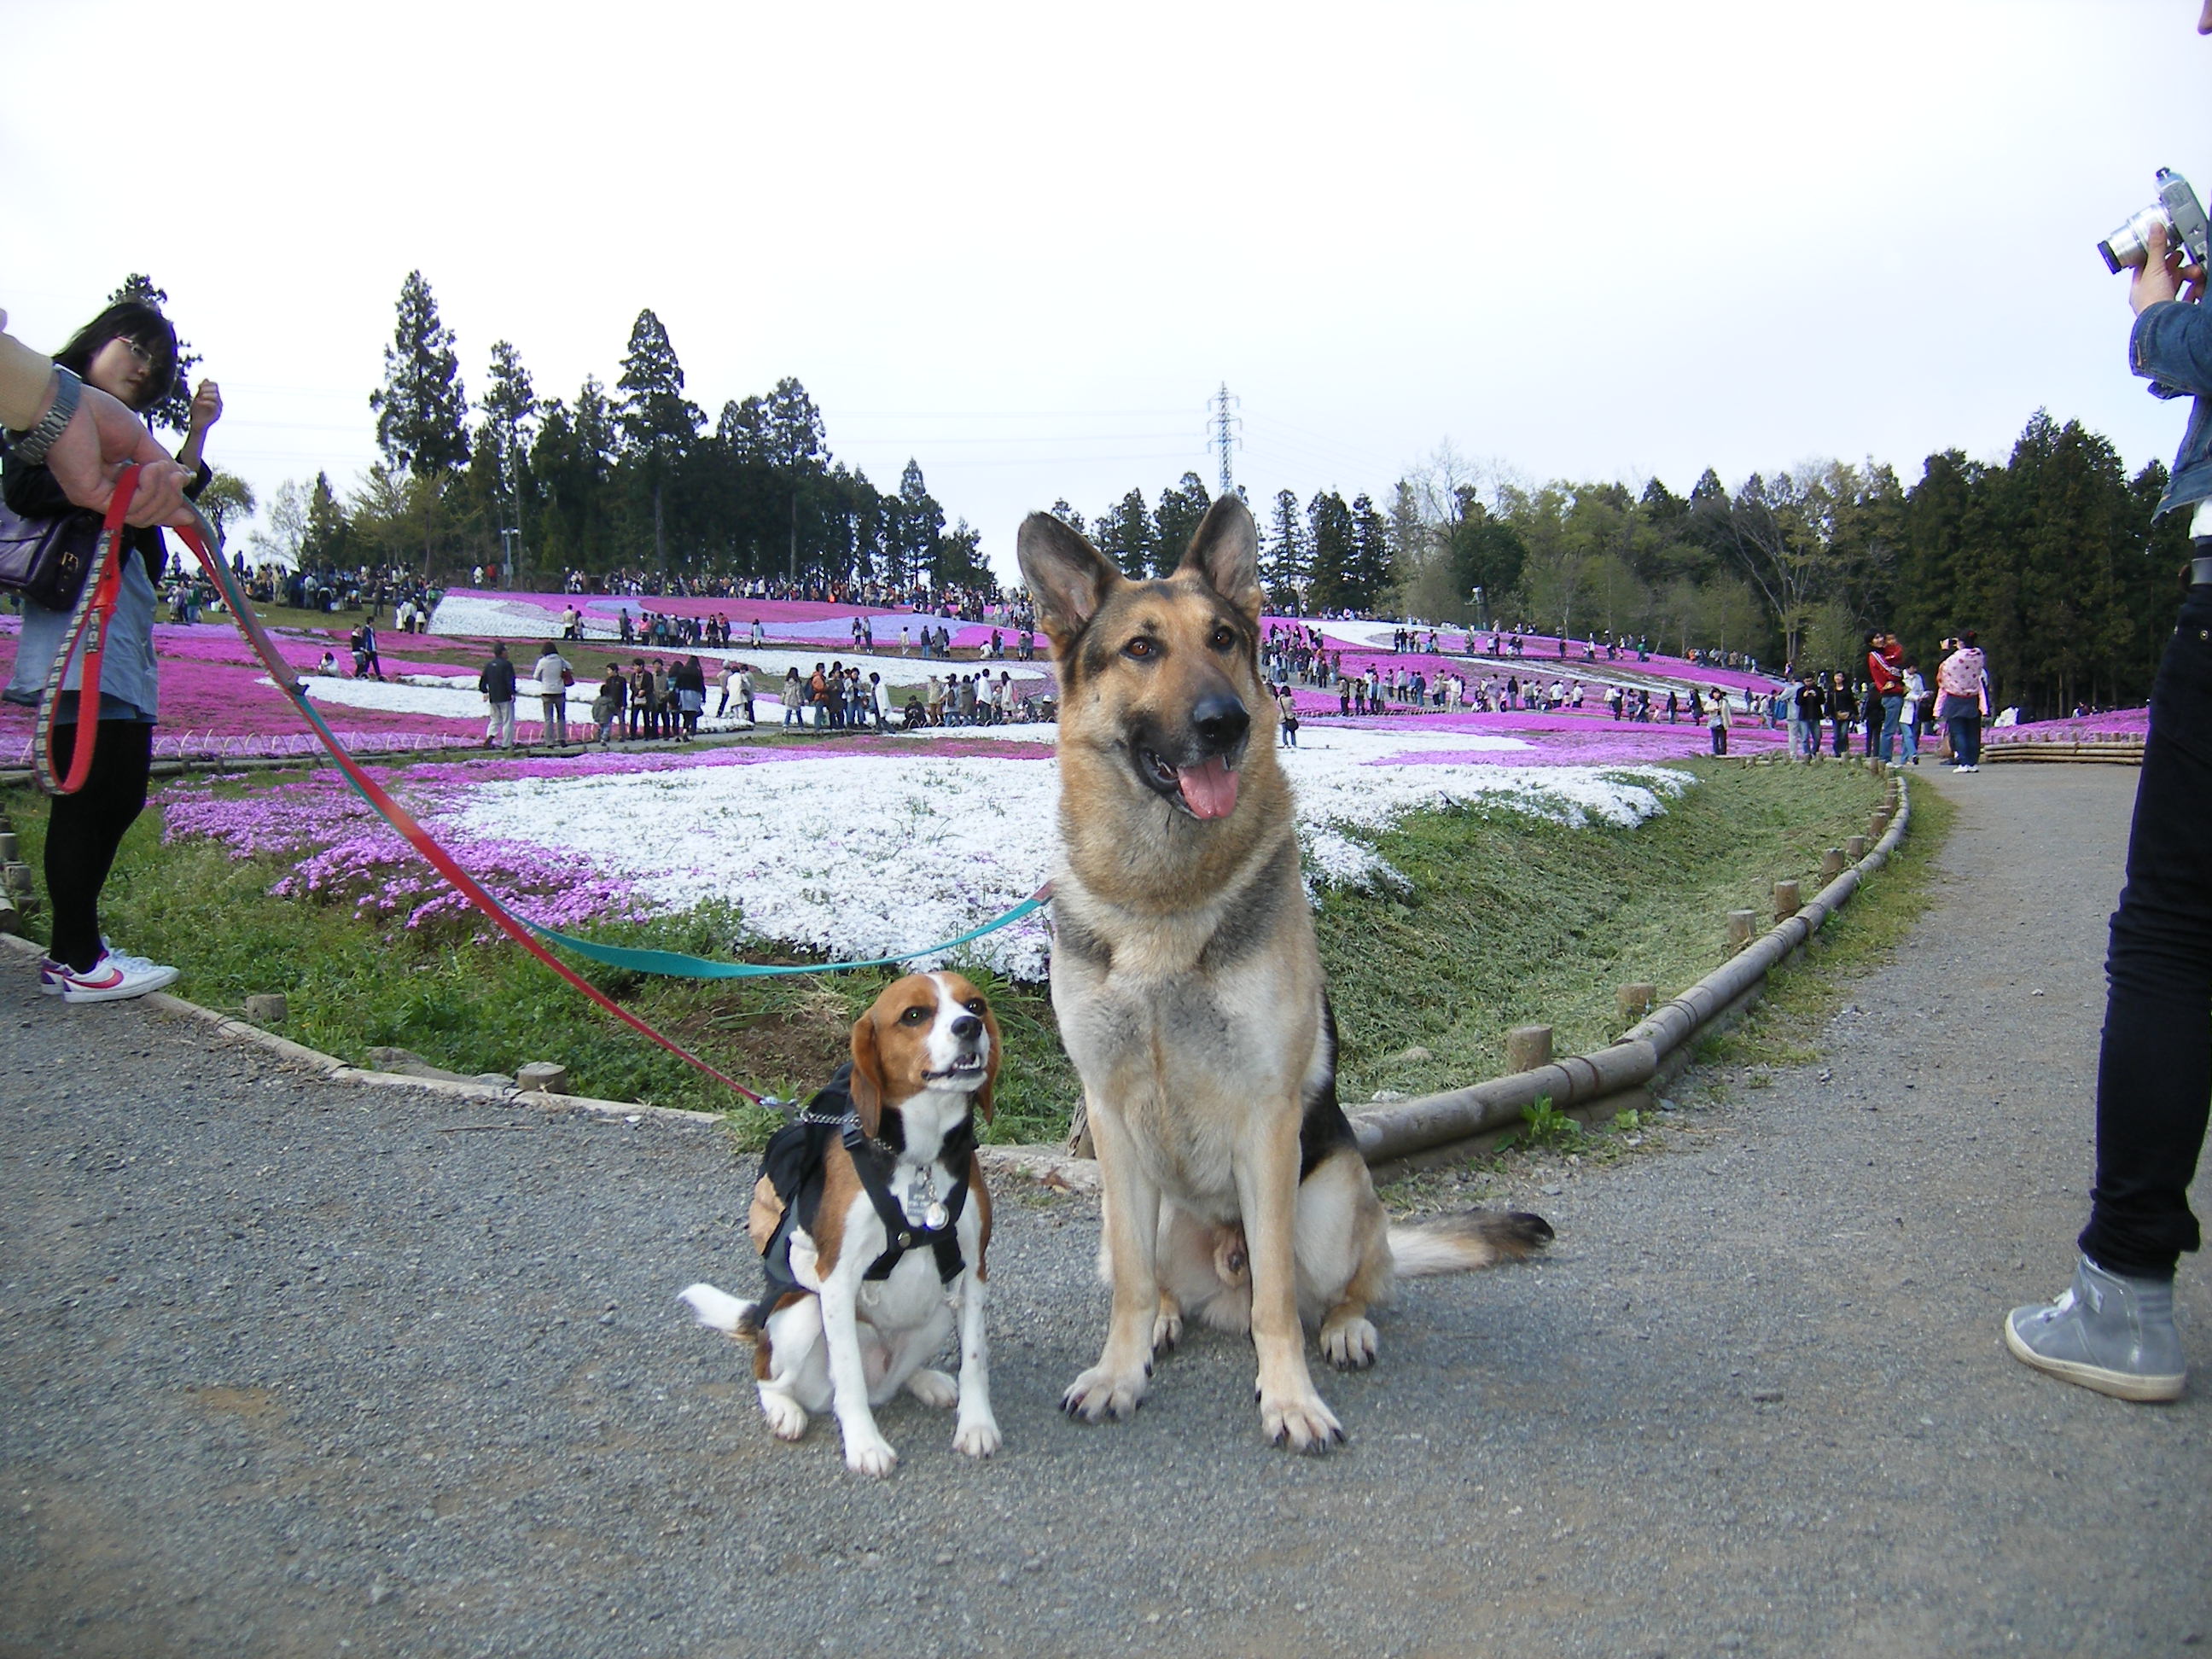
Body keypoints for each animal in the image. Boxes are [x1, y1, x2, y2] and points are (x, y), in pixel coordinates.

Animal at [681, 973, 1004, 1477]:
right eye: (915, 1015)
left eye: (975, 1005)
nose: (969, 1027)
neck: (919, 1156)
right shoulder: (836, 1278)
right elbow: (848, 1372)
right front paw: (864, 1445)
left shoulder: (972, 1272)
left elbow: (975, 1360)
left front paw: (976, 1426)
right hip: (802, 1315)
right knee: (768, 1374)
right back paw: (785, 1410)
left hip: (935, 1312)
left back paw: (925, 1381)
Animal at [1013, 499, 1548, 1451]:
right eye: (1141, 648)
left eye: (1225, 638)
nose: (1225, 722)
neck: (1163, 899)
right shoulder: (1110, 1117)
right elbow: (1130, 1283)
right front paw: (1119, 1371)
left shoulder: (1267, 1121)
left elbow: (1276, 1304)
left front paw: (1289, 1397)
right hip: (1143, 1206)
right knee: (1153, 1275)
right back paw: (1164, 1320)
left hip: (1332, 1200)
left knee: (1341, 1281)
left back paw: (1344, 1327)